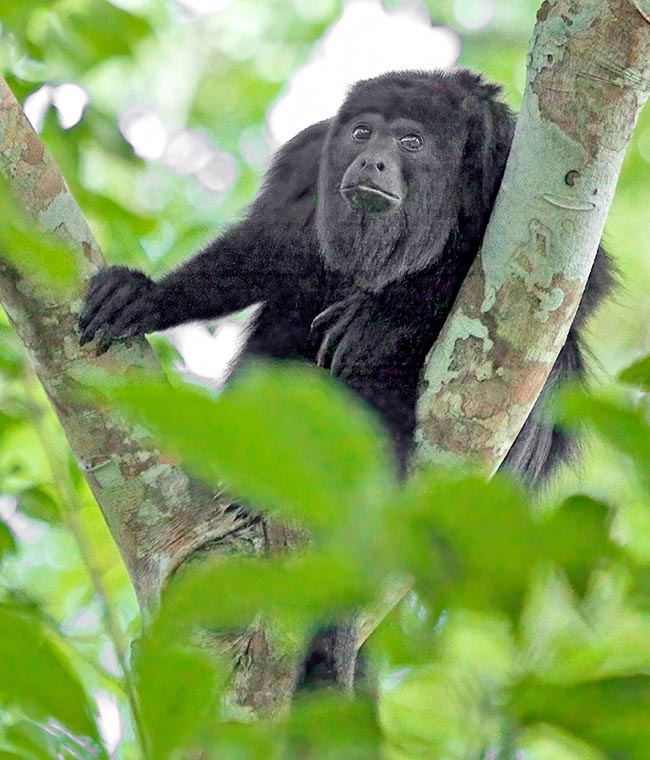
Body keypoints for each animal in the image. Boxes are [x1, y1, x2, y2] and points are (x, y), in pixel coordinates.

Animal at [78, 72, 612, 486]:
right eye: (361, 133)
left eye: (410, 142)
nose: (371, 160)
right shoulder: (311, 154)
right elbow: (269, 249)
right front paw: (148, 297)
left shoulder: (506, 162)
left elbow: (574, 283)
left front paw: (382, 317)